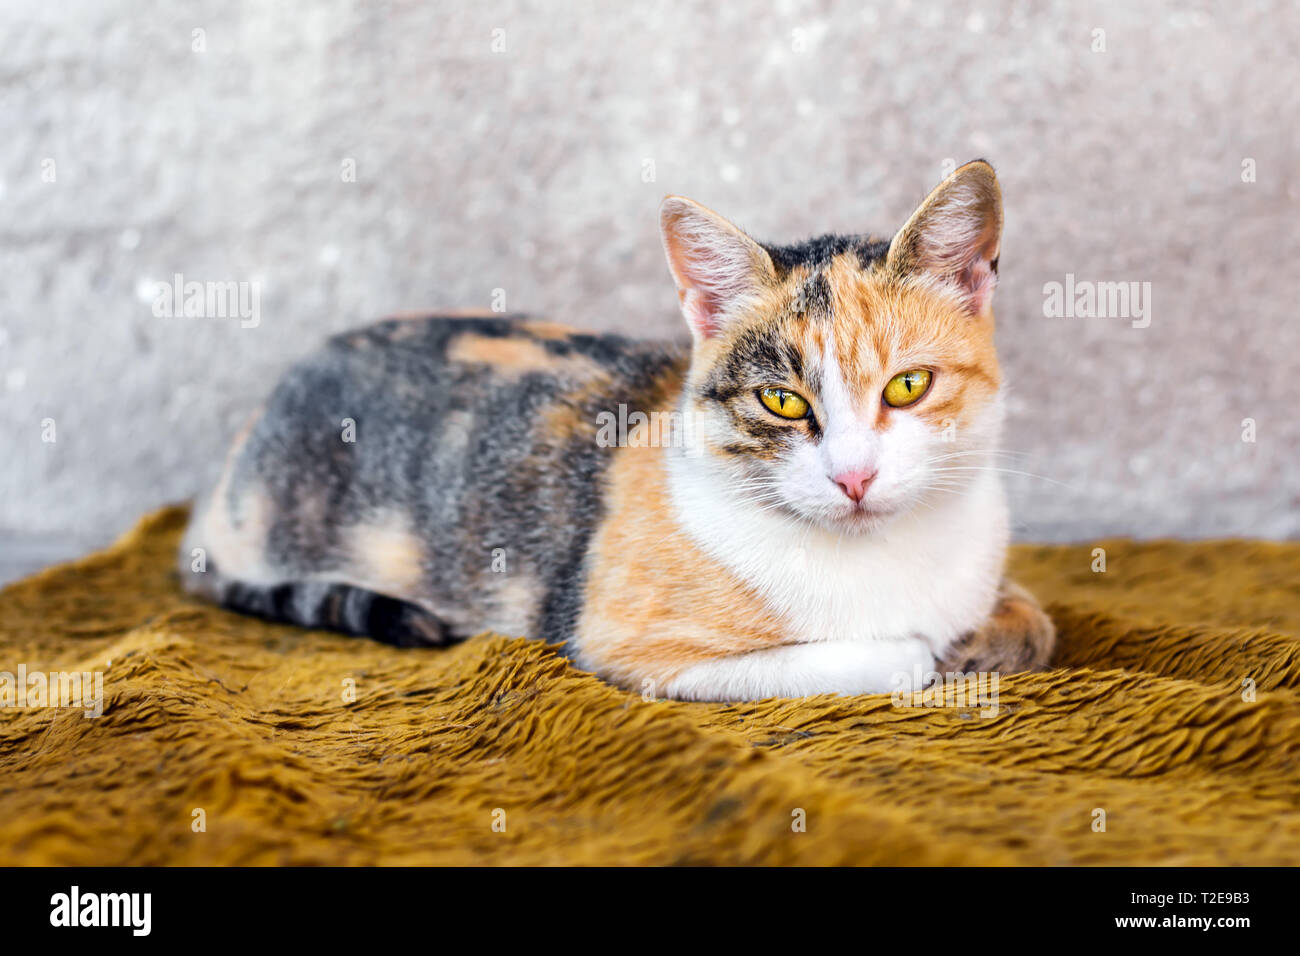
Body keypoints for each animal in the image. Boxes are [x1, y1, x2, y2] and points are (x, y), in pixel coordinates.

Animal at [180, 160, 1055, 702]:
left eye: (908, 386)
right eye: (780, 401)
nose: (854, 477)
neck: (885, 557)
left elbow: (1034, 621)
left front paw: (992, 633)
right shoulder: (630, 648)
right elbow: (889, 657)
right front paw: (927, 651)